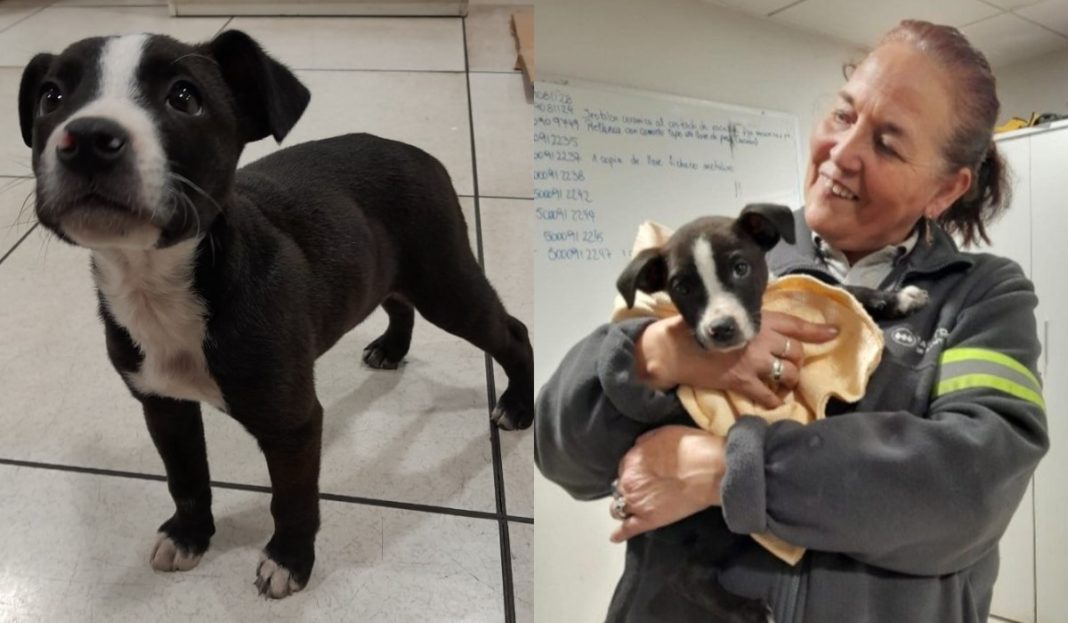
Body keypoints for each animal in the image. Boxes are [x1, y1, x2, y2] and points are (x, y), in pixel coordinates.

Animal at [16, 30, 534, 598]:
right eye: (50, 98)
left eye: (184, 97)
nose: (87, 137)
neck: (161, 280)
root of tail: (419, 153)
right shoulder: (163, 405)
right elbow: (186, 477)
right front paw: (190, 535)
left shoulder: (293, 425)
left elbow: (292, 498)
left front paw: (288, 560)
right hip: (389, 267)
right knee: (397, 301)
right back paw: (392, 347)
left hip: (445, 282)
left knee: (511, 331)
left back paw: (518, 404)